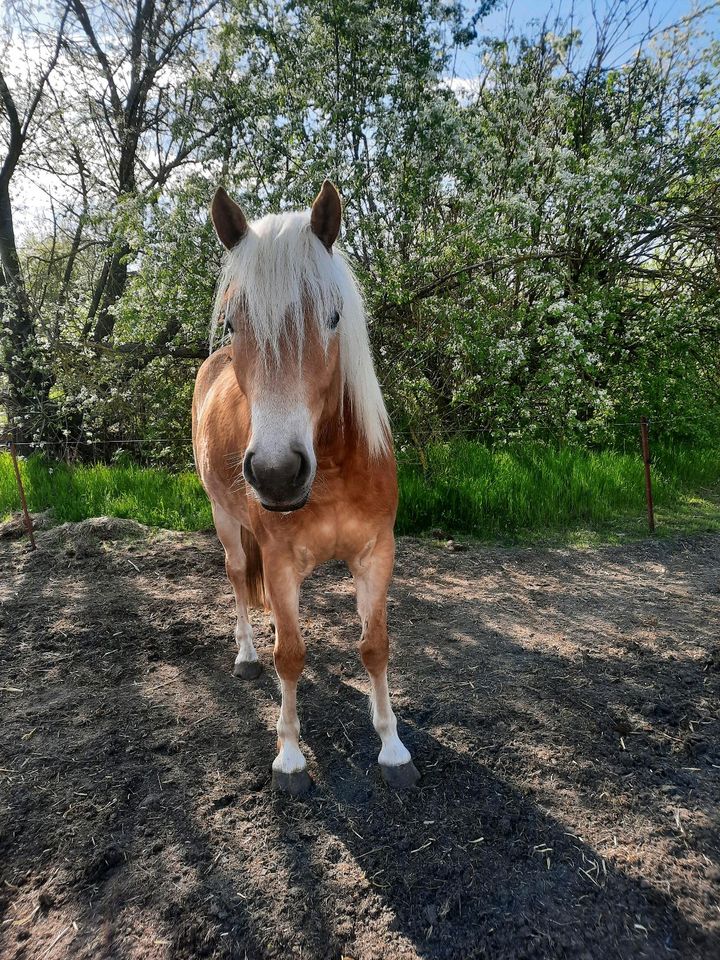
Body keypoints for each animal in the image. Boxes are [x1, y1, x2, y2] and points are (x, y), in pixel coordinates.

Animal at [191, 180, 420, 796]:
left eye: (334, 316)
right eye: (233, 324)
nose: (275, 472)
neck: (336, 472)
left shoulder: (375, 554)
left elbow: (374, 646)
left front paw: (392, 745)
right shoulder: (279, 558)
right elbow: (290, 656)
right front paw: (290, 755)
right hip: (226, 521)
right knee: (238, 581)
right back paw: (247, 654)